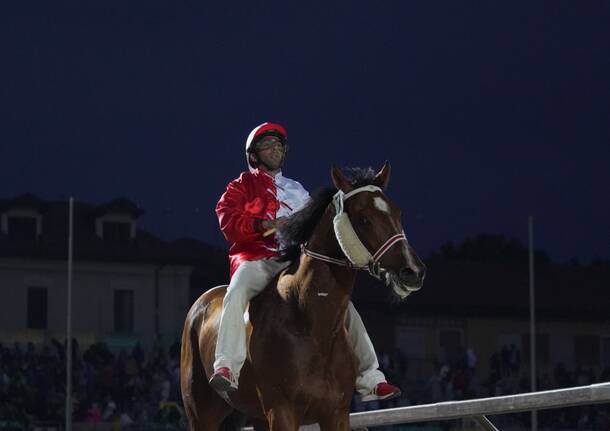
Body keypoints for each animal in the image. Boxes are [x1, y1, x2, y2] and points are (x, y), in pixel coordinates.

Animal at [180, 163, 426, 431]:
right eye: (364, 218)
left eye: (397, 212)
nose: (413, 271)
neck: (309, 322)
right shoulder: (281, 411)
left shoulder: (336, 413)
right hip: (201, 413)